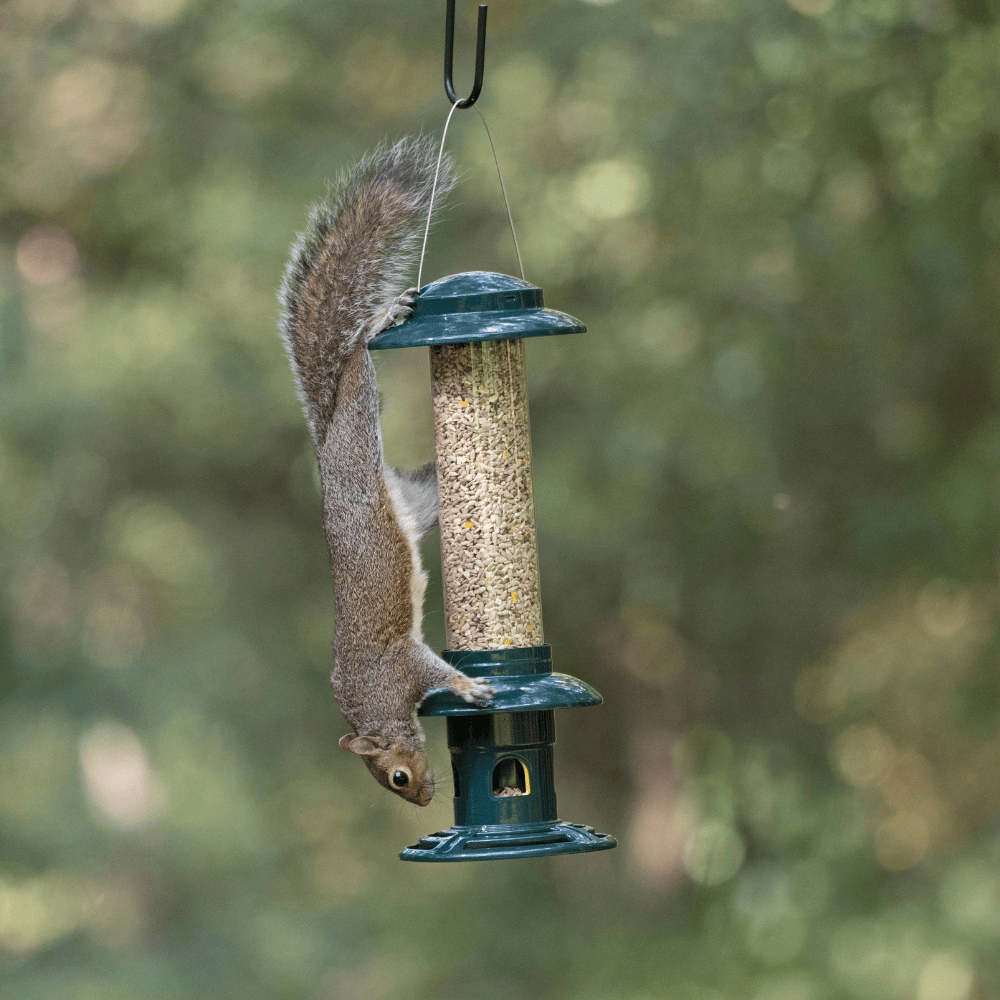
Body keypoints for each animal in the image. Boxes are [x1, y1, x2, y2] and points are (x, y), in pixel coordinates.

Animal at [278, 137, 494, 807]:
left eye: (397, 776)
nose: (422, 799)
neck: (376, 708)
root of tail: (324, 444)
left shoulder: (399, 668)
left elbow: (435, 669)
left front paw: (470, 687)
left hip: (357, 425)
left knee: (356, 361)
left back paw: (380, 322)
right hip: (416, 498)